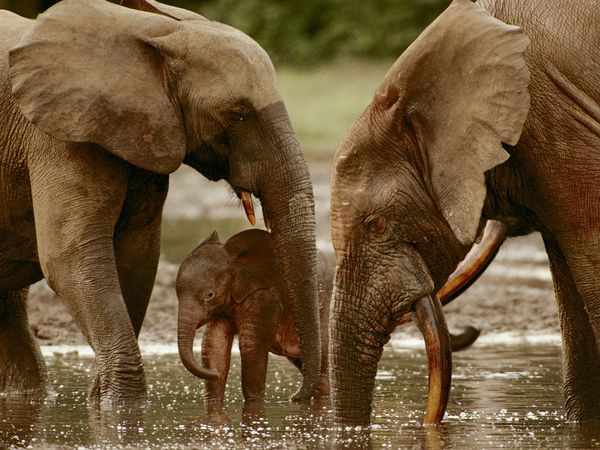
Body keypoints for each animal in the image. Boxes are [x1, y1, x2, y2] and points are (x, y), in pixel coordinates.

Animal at [0, 0, 322, 406]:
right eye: (237, 114)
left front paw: (104, 400)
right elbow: (70, 259)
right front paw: (123, 406)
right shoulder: (57, 134)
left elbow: (136, 258)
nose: (298, 397)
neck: (154, 32)